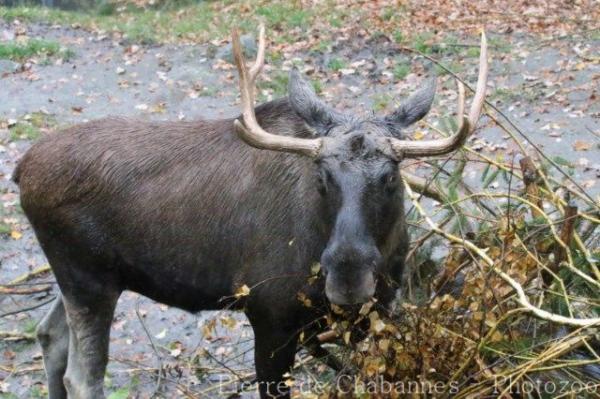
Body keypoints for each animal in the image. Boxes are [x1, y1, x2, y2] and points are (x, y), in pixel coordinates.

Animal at [12, 26, 488, 398]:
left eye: (390, 176)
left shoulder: (378, 311)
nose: (348, 276)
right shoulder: (269, 313)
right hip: (88, 279)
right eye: (322, 176)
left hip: (80, 277)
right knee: (81, 377)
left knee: (49, 336)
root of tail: (20, 170)